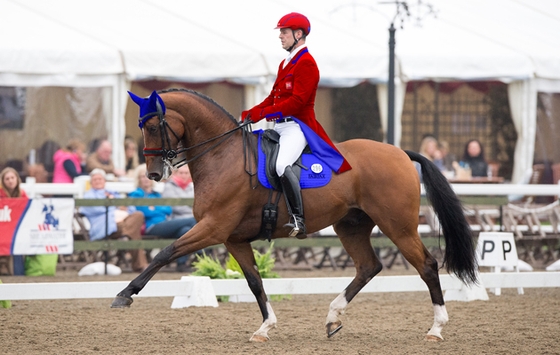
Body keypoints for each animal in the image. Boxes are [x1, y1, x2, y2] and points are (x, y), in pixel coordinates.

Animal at [112, 87, 476, 344]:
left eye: (153, 126)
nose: (154, 174)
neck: (222, 156)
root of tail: (400, 152)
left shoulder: (213, 228)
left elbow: (165, 252)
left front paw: (124, 295)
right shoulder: (233, 238)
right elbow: (255, 281)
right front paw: (264, 328)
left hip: (398, 226)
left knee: (427, 265)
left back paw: (436, 329)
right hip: (351, 226)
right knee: (368, 266)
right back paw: (332, 317)